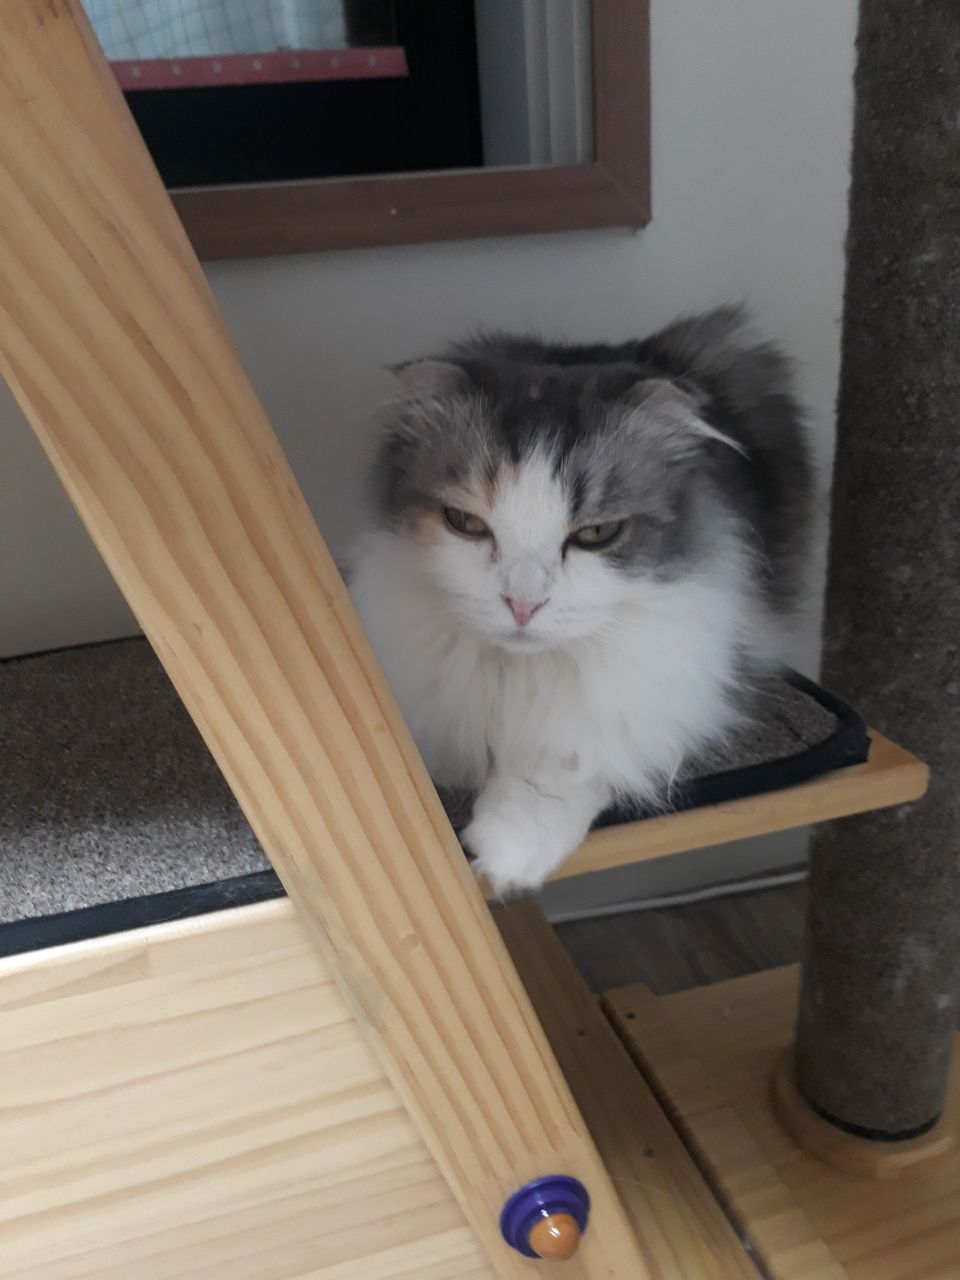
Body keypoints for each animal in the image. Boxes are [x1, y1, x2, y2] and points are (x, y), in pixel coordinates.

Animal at [347, 305, 813, 894]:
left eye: (596, 534)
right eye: (465, 522)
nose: (522, 604)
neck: (523, 672)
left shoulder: (679, 684)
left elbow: (571, 755)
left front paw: (504, 851)